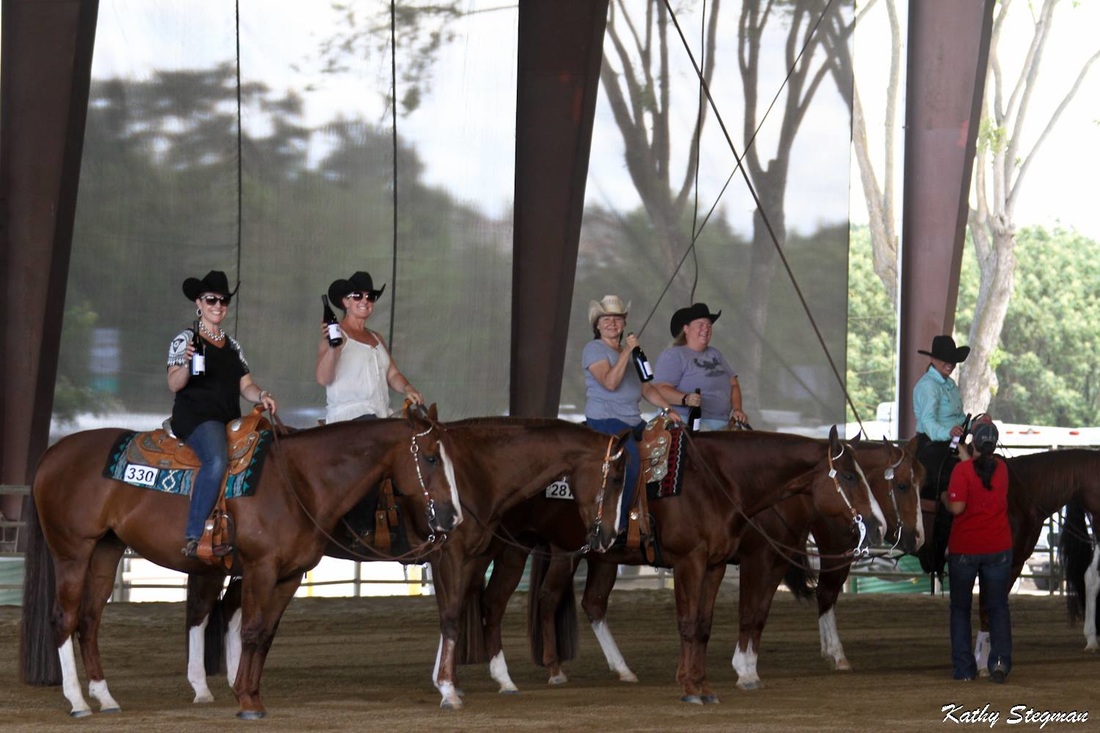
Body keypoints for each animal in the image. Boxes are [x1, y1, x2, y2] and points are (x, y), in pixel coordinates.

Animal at [20, 407, 459, 717]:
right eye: (431, 458)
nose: (453, 518)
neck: (297, 481)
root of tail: (52, 454)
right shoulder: (261, 569)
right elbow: (248, 629)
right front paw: (246, 703)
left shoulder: (290, 576)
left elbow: (264, 634)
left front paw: (251, 694)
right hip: (72, 551)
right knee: (65, 617)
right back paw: (78, 702)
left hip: (106, 551)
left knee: (90, 619)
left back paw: (105, 698)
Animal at [180, 416, 629, 708]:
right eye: (617, 479)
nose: (609, 537)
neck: (475, 471)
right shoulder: (453, 555)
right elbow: (455, 615)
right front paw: (449, 687)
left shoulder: (470, 557)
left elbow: (459, 611)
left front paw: (457, 680)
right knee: (205, 610)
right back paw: (203, 688)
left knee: (231, 610)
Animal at [473, 424, 884, 699]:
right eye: (850, 476)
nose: (878, 525)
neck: (719, 483)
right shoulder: (703, 561)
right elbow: (703, 620)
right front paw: (703, 682)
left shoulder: (719, 564)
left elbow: (709, 623)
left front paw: (708, 682)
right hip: (515, 549)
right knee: (508, 602)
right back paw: (524, 675)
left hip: (560, 552)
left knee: (574, 602)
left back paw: (605, 670)